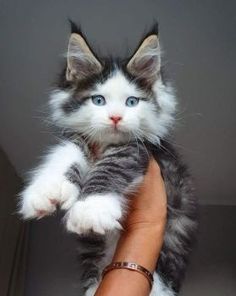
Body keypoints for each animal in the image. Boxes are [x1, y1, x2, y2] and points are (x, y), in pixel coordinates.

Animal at [19, 23, 198, 296]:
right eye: (98, 100)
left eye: (132, 102)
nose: (115, 117)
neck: (105, 144)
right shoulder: (79, 139)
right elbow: (64, 153)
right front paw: (45, 191)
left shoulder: (141, 149)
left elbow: (111, 167)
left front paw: (92, 207)